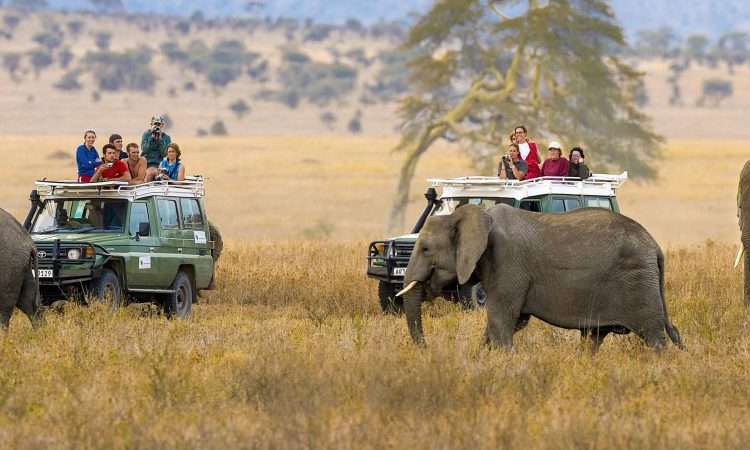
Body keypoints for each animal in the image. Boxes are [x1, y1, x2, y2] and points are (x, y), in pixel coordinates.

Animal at [397, 204, 684, 352]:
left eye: (425, 249)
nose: (426, 349)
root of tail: (655, 247)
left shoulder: (508, 262)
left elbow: (502, 319)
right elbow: (510, 322)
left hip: (638, 282)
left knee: (653, 335)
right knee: (594, 337)